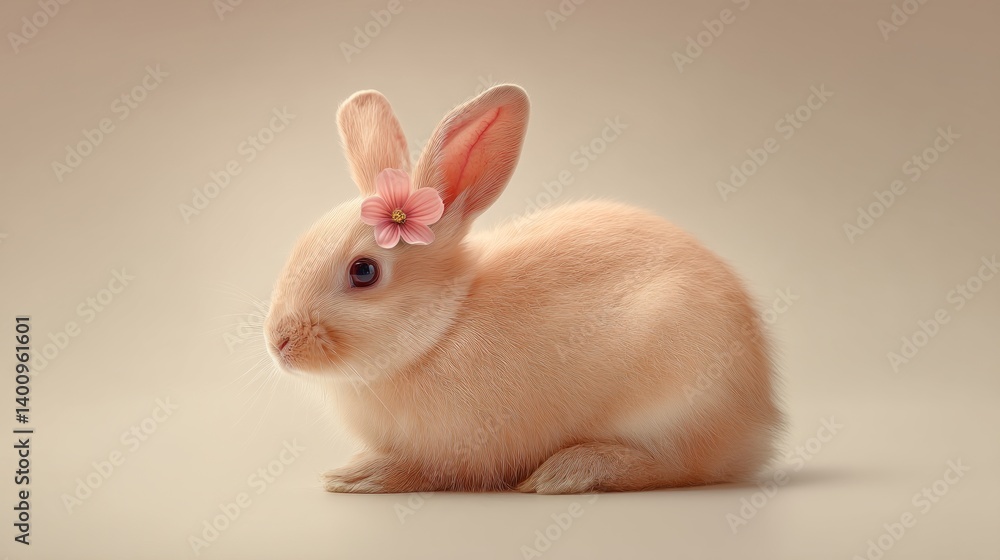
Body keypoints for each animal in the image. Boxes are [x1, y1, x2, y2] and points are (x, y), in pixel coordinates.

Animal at [263, 84, 783, 494]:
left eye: (364, 272)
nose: (279, 343)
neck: (442, 329)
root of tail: (759, 422)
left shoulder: (464, 450)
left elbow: (427, 470)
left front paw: (360, 476)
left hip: (678, 400)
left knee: (679, 465)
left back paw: (570, 472)